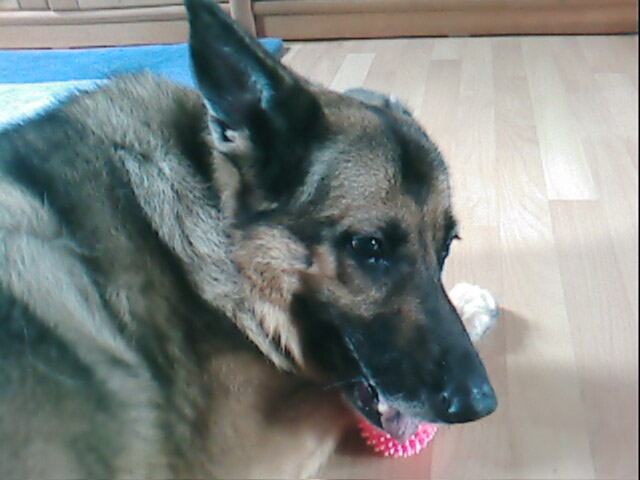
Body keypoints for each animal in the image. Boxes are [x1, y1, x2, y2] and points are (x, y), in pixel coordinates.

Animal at [0, 0, 497, 477]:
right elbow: (322, 391)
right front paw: (470, 304)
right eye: (368, 247)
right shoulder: (237, 453)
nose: (483, 404)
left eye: (445, 248)